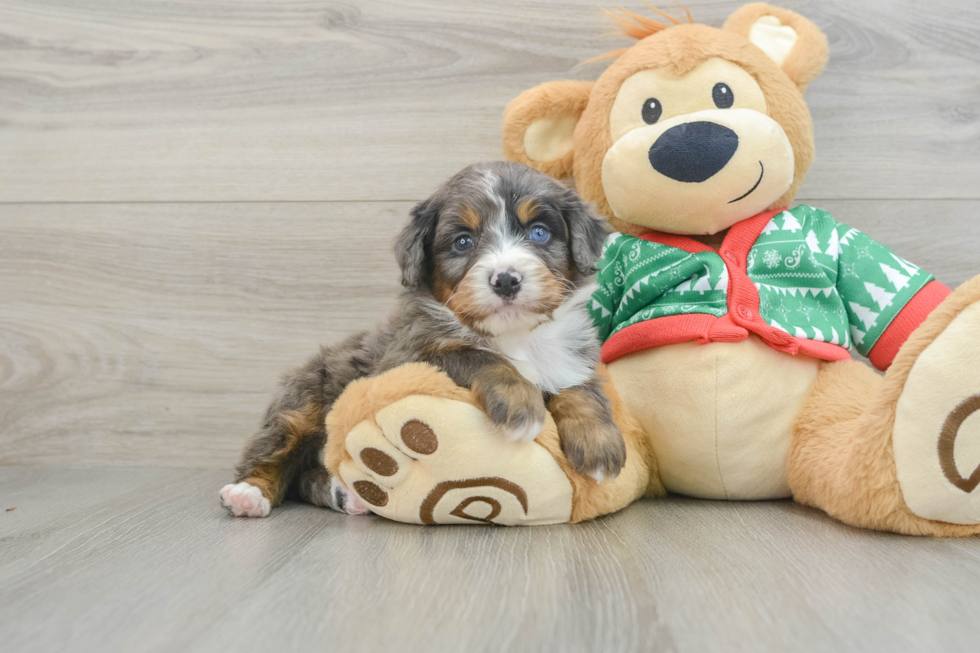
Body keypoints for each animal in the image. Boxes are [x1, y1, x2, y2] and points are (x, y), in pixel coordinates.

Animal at [218, 160, 624, 516]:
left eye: (539, 232)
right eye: (463, 241)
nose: (506, 279)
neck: (515, 336)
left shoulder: (571, 358)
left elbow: (580, 390)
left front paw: (598, 442)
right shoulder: (407, 356)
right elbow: (480, 357)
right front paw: (520, 402)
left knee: (304, 478)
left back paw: (346, 495)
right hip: (302, 400)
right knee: (273, 452)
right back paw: (248, 494)